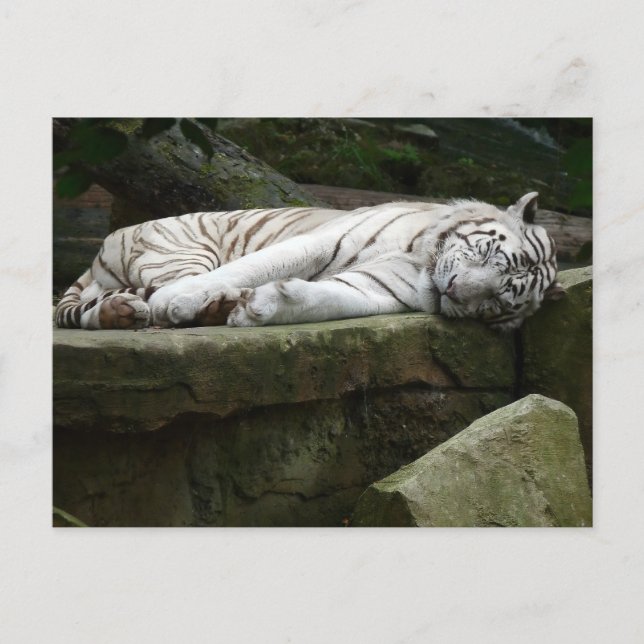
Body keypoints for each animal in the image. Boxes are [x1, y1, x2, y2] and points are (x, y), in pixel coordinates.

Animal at [54, 192, 565, 332]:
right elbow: (253, 266)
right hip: (182, 249)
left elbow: (329, 298)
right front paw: (178, 302)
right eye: (486, 252)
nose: (455, 289)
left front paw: (259, 308)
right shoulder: (324, 239)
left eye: (498, 299)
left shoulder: (377, 289)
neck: (421, 259)